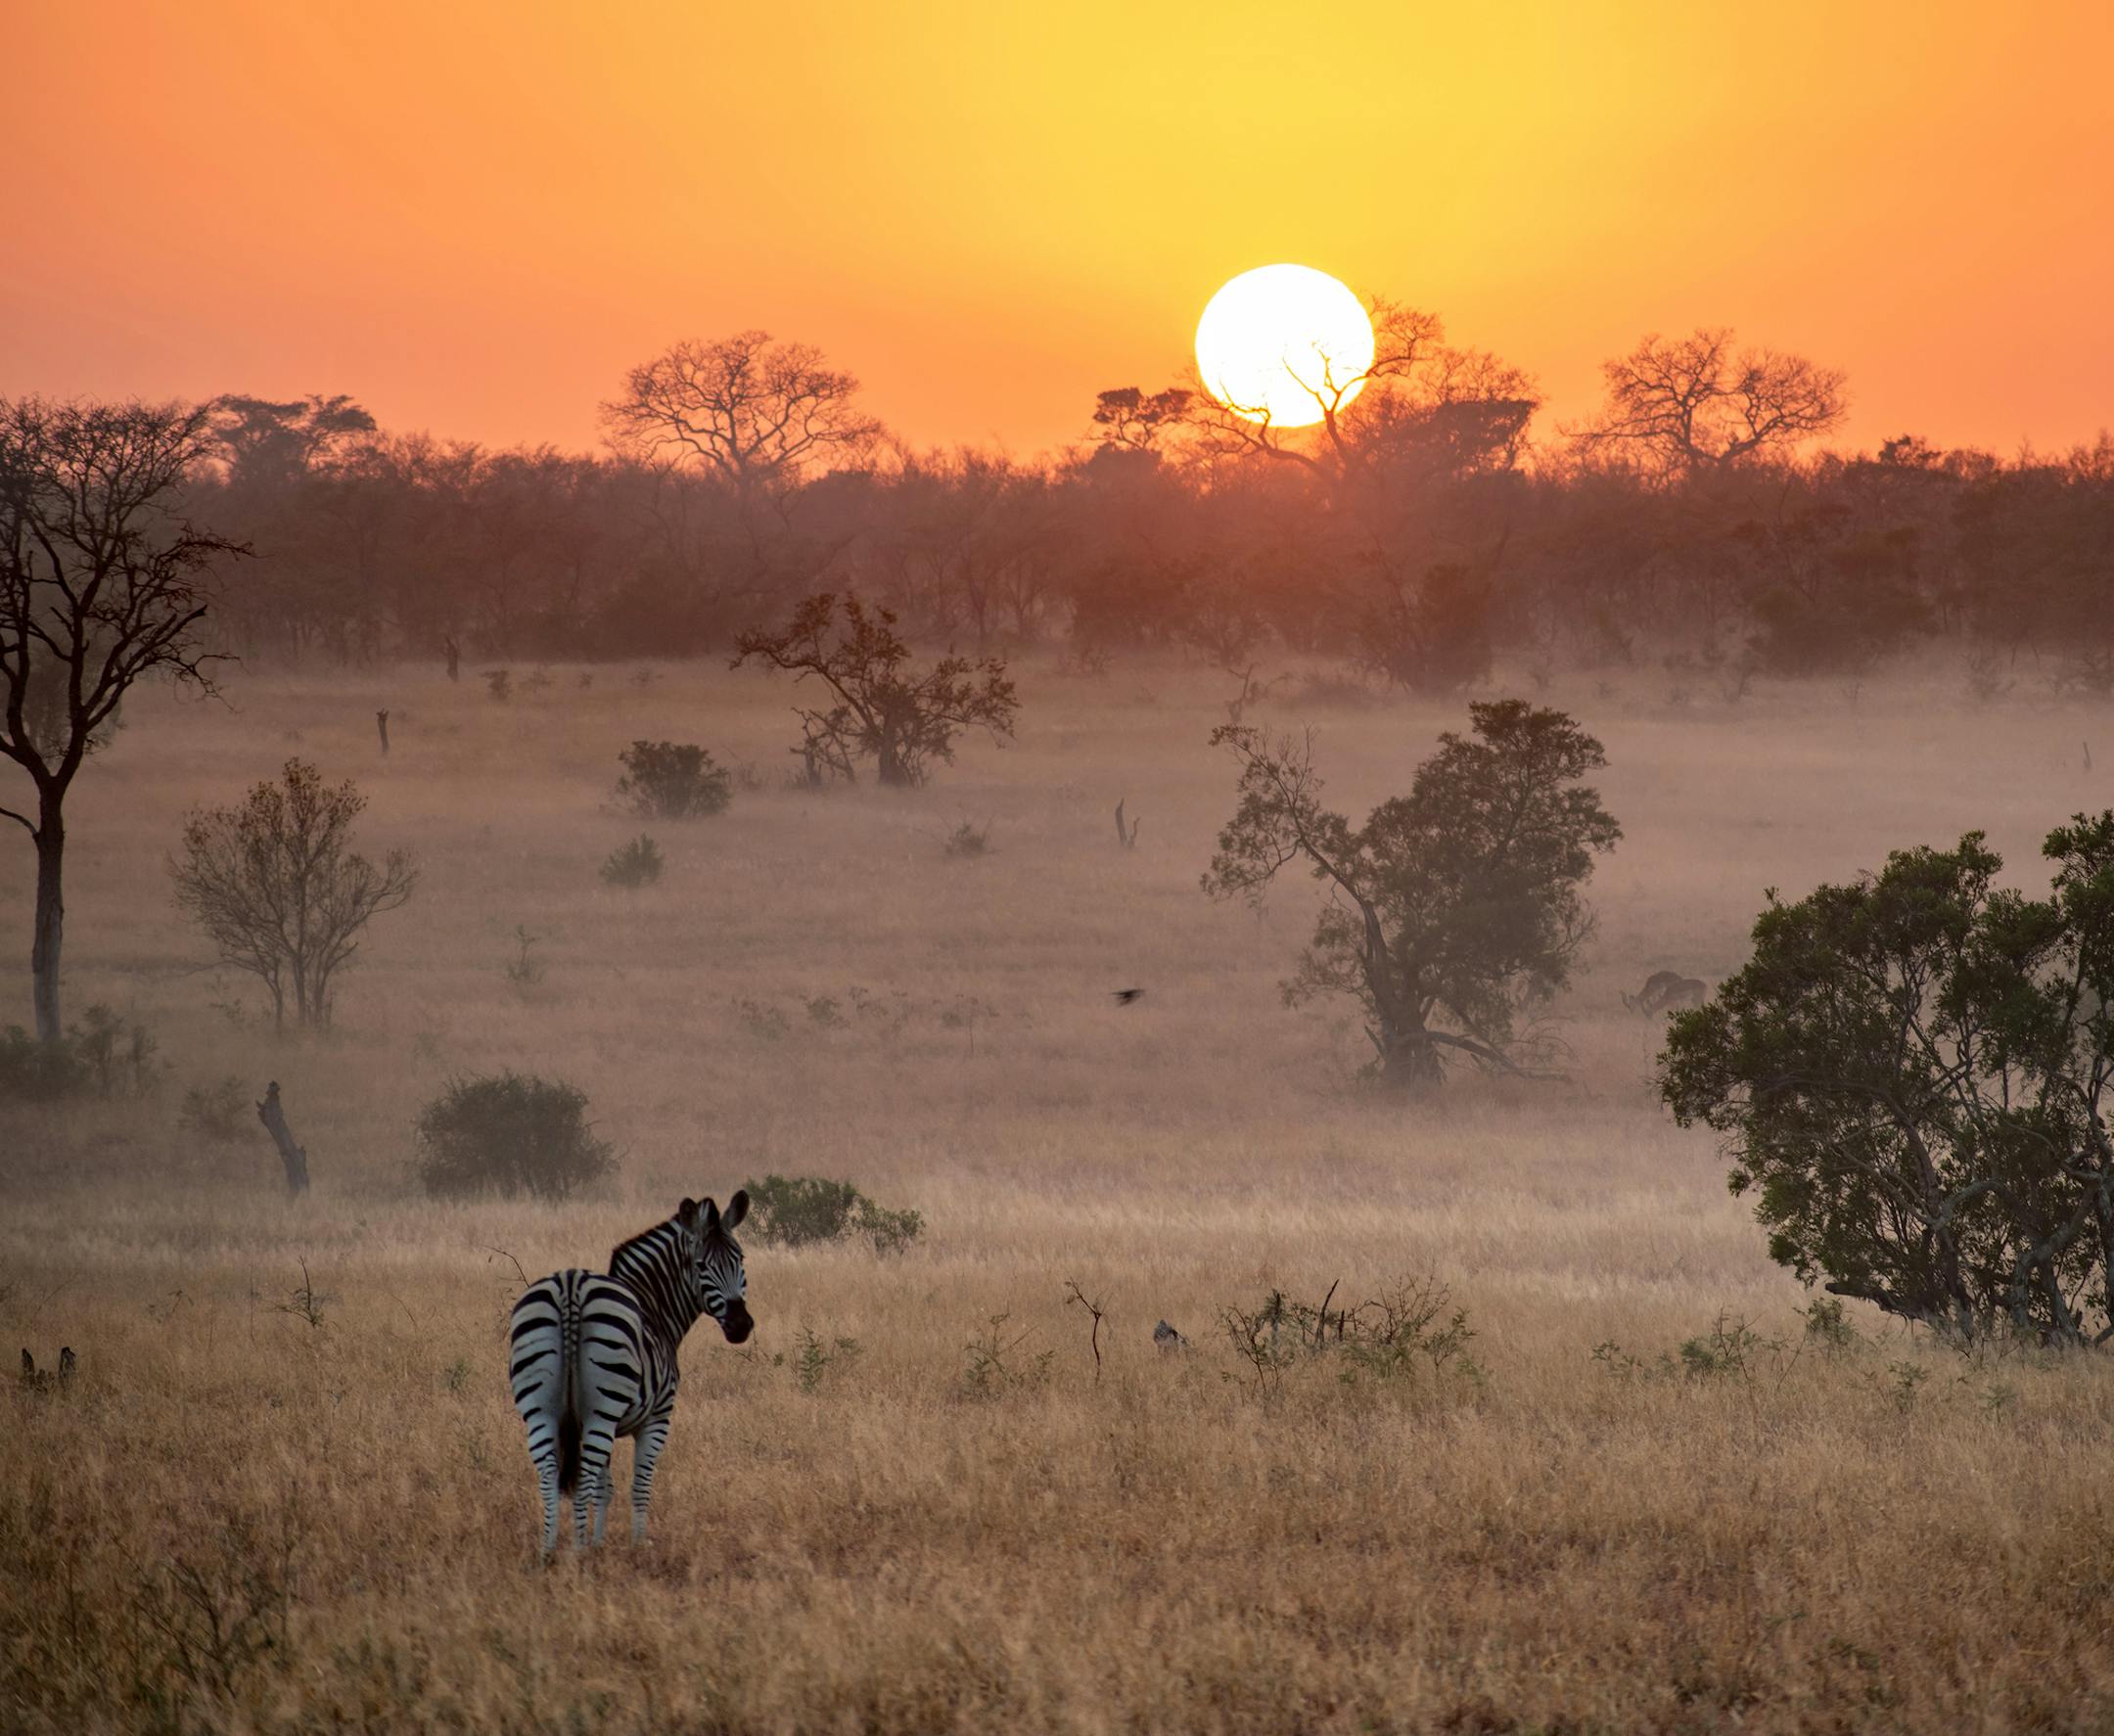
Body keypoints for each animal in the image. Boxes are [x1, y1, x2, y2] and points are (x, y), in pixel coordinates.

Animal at [508, 1192, 751, 1556]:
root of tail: (571, 1286)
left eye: (740, 1259)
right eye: (701, 1266)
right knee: (583, 1477)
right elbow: (639, 1485)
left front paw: (598, 1543)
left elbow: (605, 1488)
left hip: (540, 1408)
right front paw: (636, 1546)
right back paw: (578, 1555)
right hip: (603, 1410)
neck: (653, 1307)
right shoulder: (657, 1417)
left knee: (549, 1473)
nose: (740, 1326)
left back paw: (549, 1552)